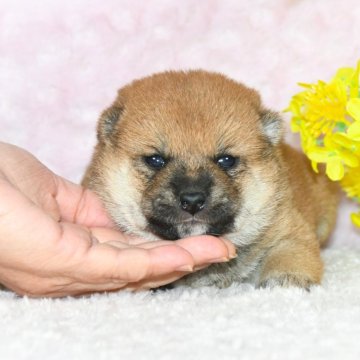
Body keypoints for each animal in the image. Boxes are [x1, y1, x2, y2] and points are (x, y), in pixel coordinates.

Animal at [83, 70, 338, 290]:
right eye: (155, 160)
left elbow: (289, 254)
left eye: (226, 160)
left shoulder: (290, 230)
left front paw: (286, 279)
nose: (193, 200)